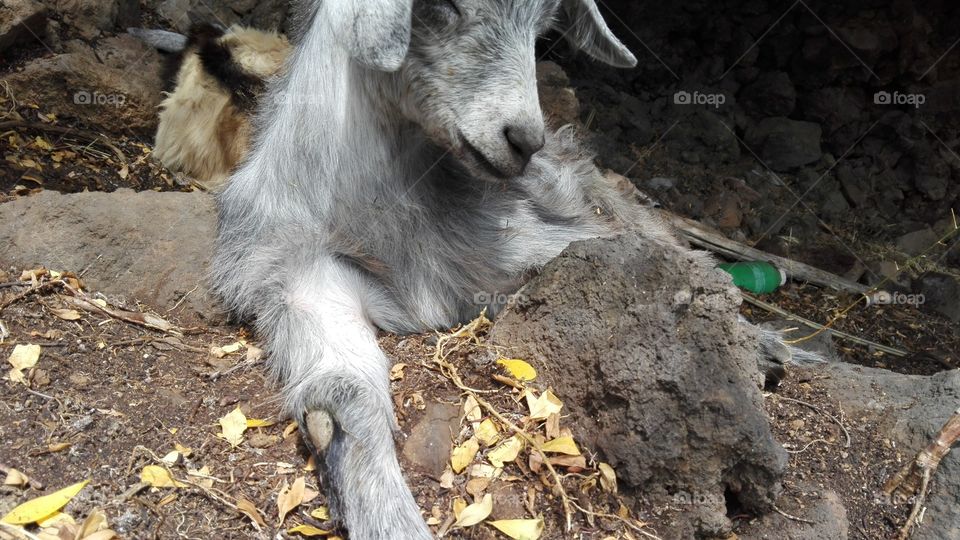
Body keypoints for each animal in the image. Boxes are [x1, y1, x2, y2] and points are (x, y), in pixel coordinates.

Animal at [212, 1, 808, 537]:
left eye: (543, 29)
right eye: (444, 6)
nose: (524, 140)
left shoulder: (529, 244)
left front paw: (758, 341)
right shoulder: (299, 278)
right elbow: (341, 393)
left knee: (659, 237)